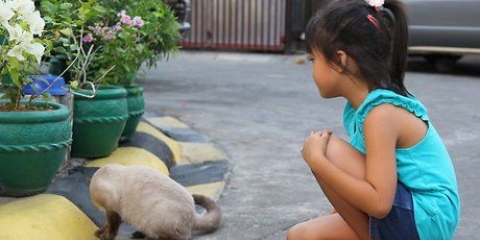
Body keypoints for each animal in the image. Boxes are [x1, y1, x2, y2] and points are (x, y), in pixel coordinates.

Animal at [89, 164, 222, 240]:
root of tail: (193, 214)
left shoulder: (113, 209)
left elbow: (112, 227)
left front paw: (104, 237)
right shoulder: (118, 212)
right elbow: (108, 224)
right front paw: (99, 232)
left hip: (158, 216)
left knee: (168, 238)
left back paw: (144, 237)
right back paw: (138, 234)